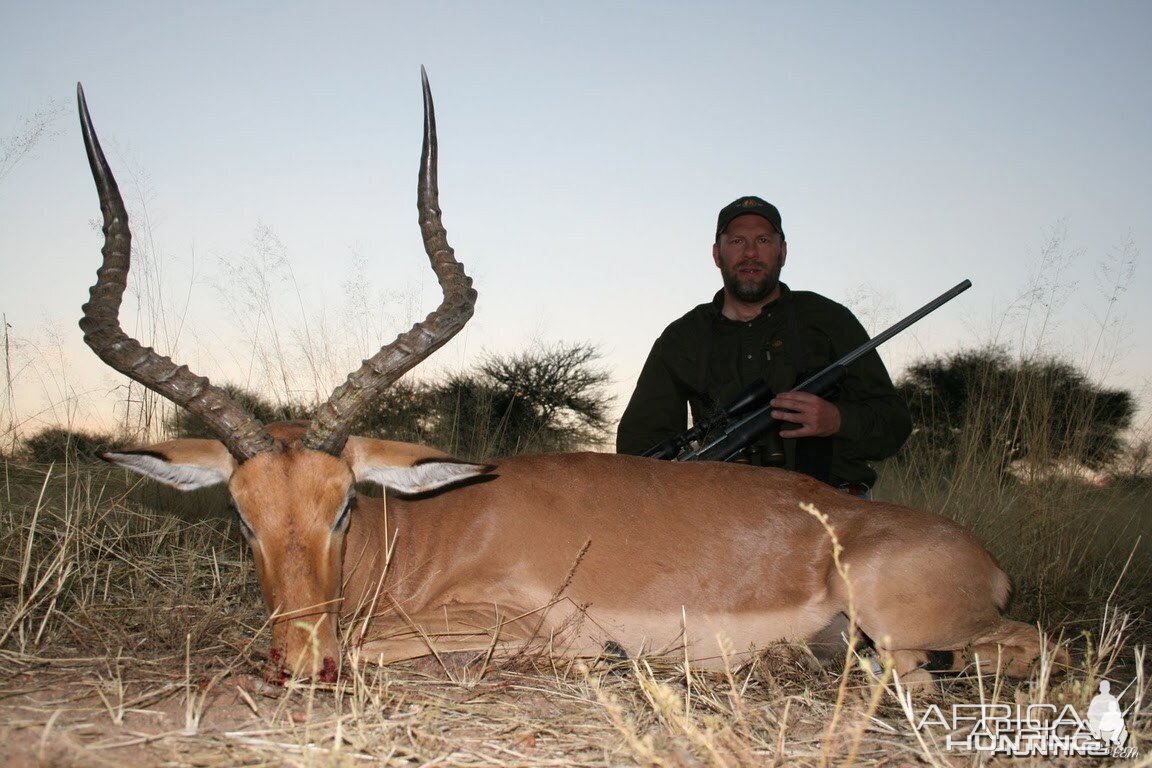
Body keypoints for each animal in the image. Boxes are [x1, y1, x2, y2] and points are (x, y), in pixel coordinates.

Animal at [76, 73, 1055, 686]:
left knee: (1023, 648)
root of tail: (984, 560)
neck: (435, 528)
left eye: (344, 504)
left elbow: (383, 643)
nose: (300, 661)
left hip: (910, 623)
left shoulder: (519, 622)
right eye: (241, 516)